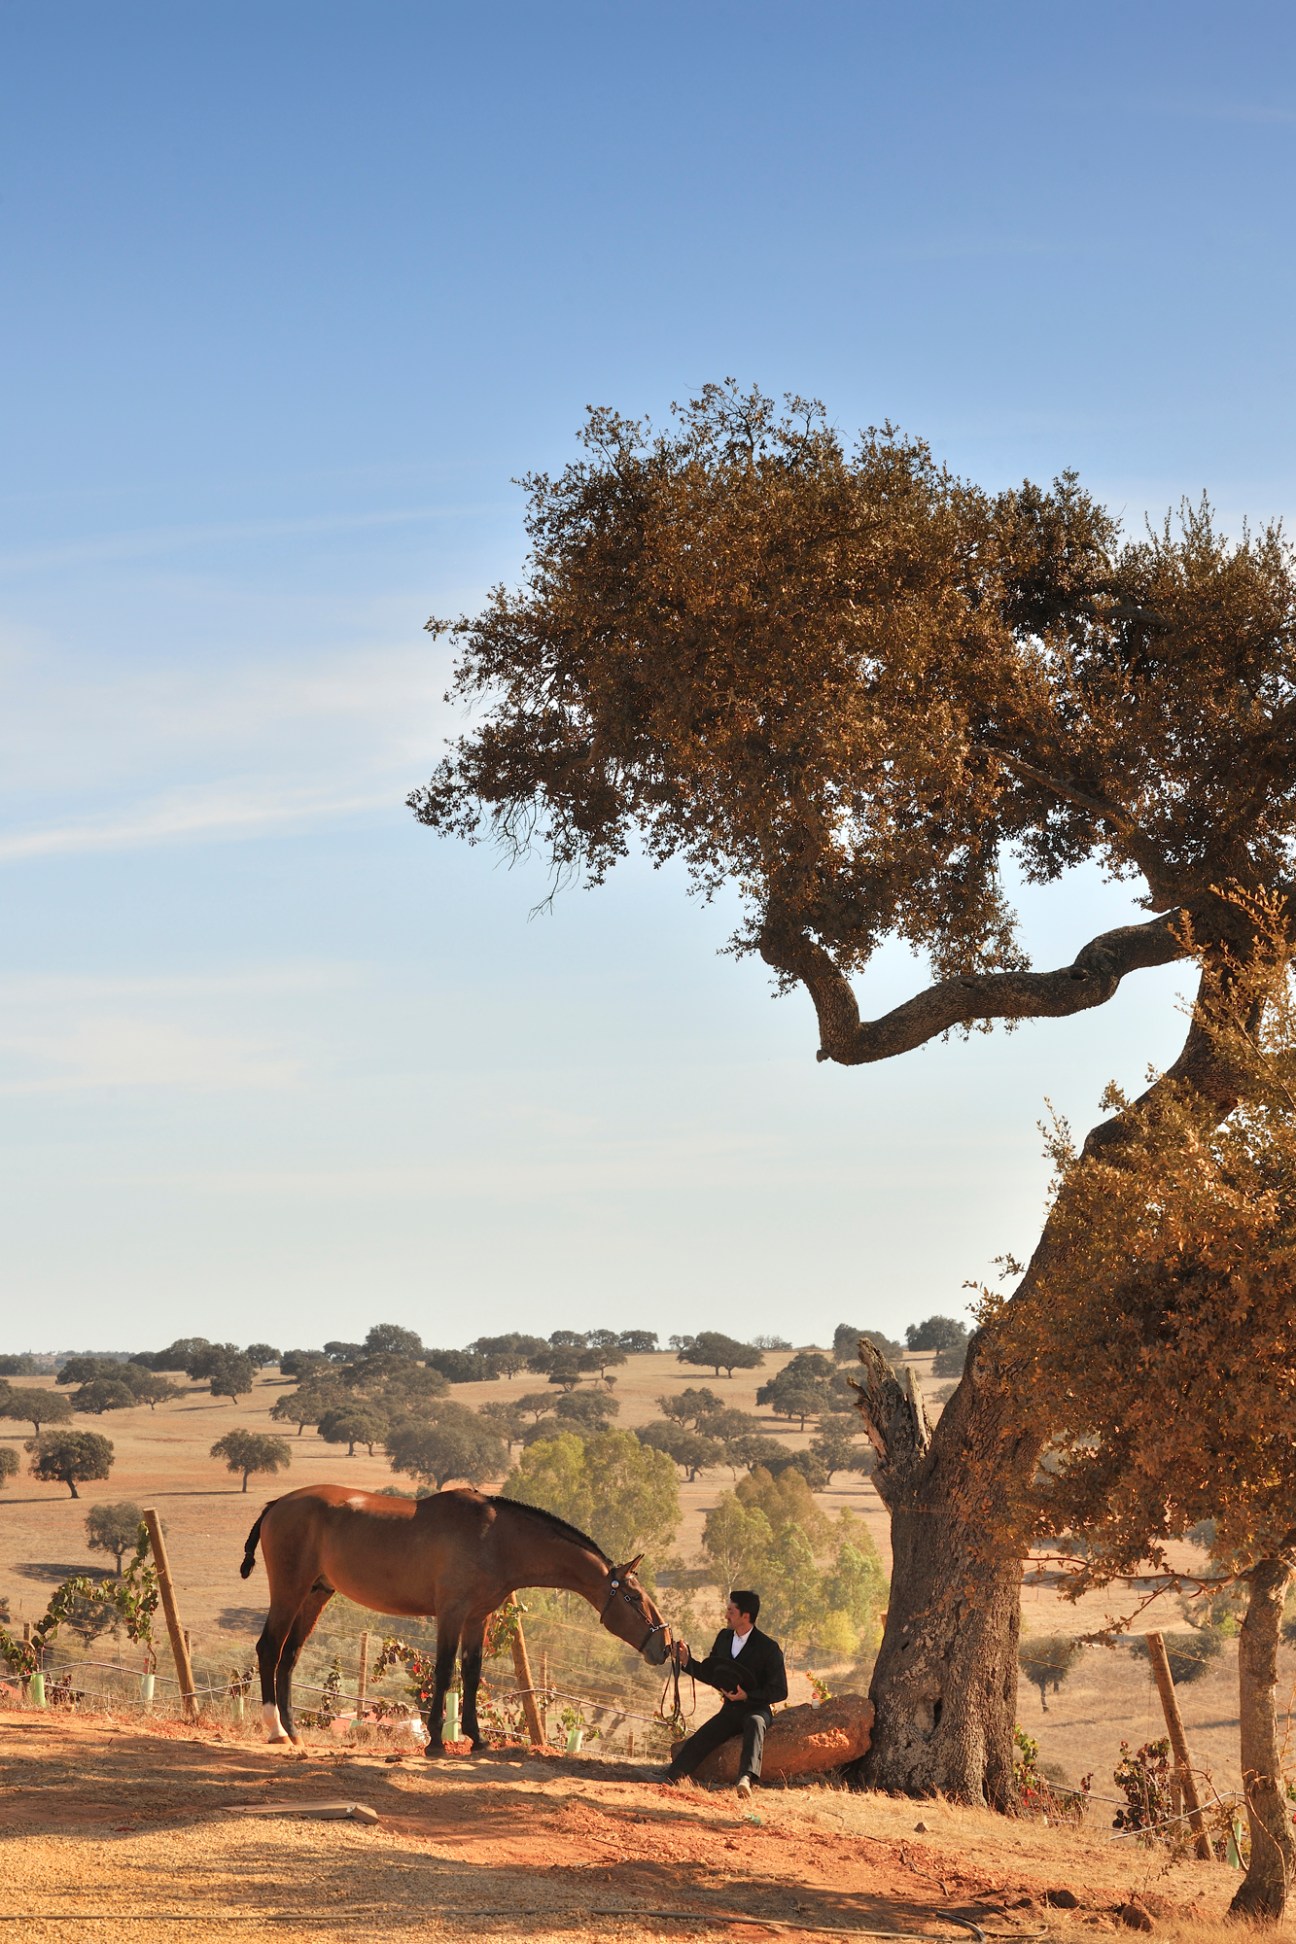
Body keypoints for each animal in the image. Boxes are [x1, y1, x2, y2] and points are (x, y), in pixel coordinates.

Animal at [239, 1482, 673, 1751]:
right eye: (633, 1596)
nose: (666, 1644)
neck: (495, 1538)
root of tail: (277, 1505)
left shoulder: (478, 1619)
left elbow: (472, 1673)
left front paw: (476, 1738)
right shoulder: (451, 1613)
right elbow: (447, 1671)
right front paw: (435, 1741)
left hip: (316, 1594)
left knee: (289, 1657)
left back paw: (293, 1731)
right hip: (291, 1591)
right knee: (269, 1650)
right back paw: (276, 1731)